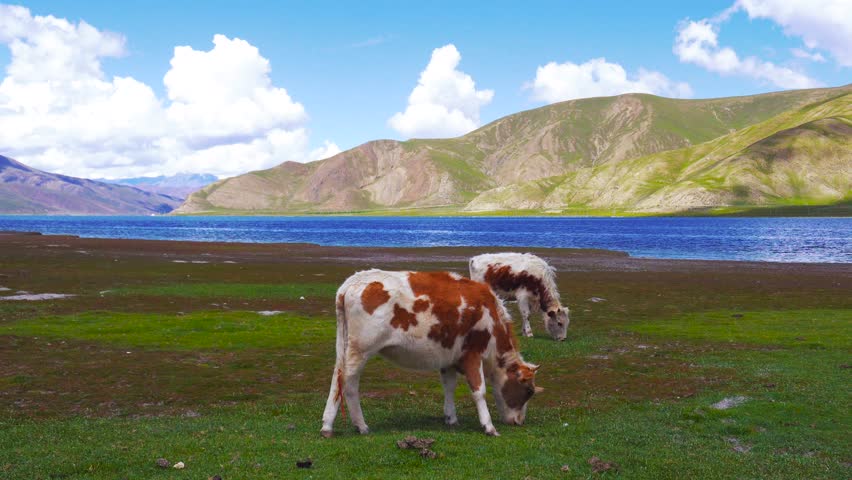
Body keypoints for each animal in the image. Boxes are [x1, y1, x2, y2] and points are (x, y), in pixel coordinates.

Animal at [321, 269, 542, 437]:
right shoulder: (472, 353)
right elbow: (479, 391)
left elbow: (449, 387)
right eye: (528, 391)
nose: (519, 421)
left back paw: (332, 425)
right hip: (361, 350)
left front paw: (451, 418)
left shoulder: (449, 358)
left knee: (338, 379)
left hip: (347, 348)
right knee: (347, 383)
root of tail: (353, 282)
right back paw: (354, 425)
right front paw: (488, 426)